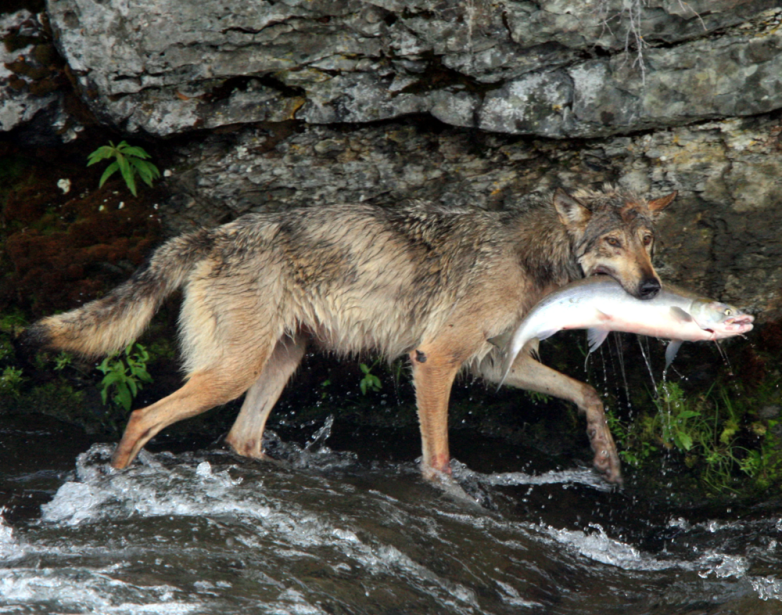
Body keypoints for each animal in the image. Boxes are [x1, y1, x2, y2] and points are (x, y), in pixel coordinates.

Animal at [21, 185, 676, 484]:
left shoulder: (497, 364)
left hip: (277, 365)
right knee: (140, 416)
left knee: (240, 437)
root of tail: (212, 233)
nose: (651, 289)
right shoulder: (434, 360)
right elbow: (439, 456)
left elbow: (588, 394)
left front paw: (606, 458)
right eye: (612, 242)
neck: (531, 258)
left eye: (647, 242)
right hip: (230, 373)